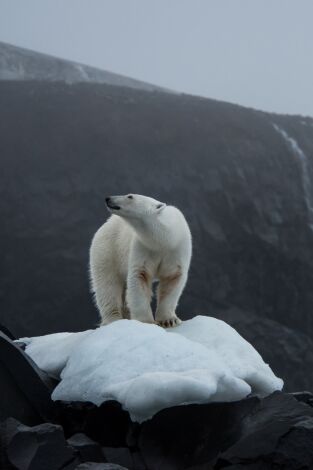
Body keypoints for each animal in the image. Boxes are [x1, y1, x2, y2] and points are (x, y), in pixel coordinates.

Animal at [89, 194, 191, 326]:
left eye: (130, 196)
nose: (108, 198)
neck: (164, 238)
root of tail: (105, 225)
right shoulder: (142, 247)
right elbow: (139, 276)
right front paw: (146, 322)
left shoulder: (176, 249)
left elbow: (172, 278)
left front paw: (169, 320)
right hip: (107, 250)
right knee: (108, 285)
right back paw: (114, 320)